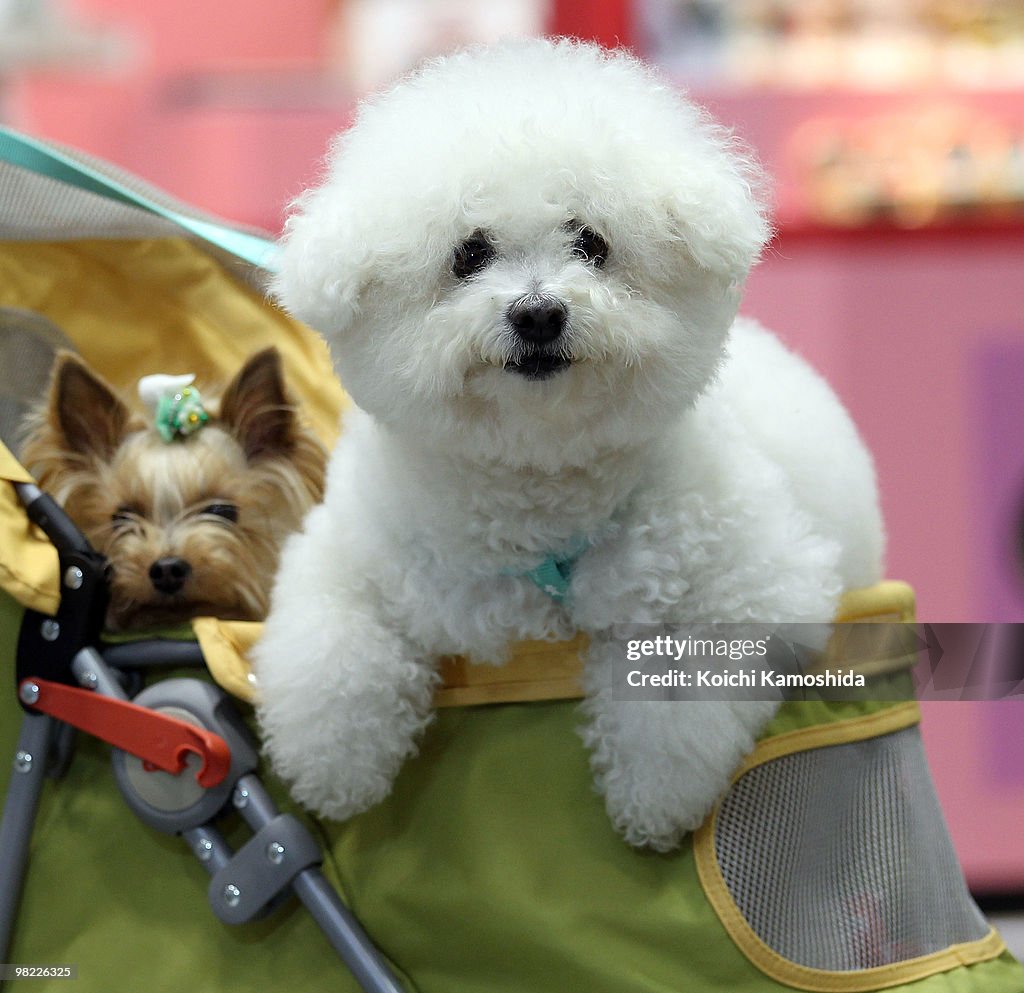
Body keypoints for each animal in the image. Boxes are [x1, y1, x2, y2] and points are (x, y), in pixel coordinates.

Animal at [251, 34, 884, 847]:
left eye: (590, 243)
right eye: (469, 253)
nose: (538, 313)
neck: (539, 490)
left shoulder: (755, 583)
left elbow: (677, 686)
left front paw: (655, 797)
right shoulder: (351, 554)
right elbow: (335, 650)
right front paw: (333, 770)